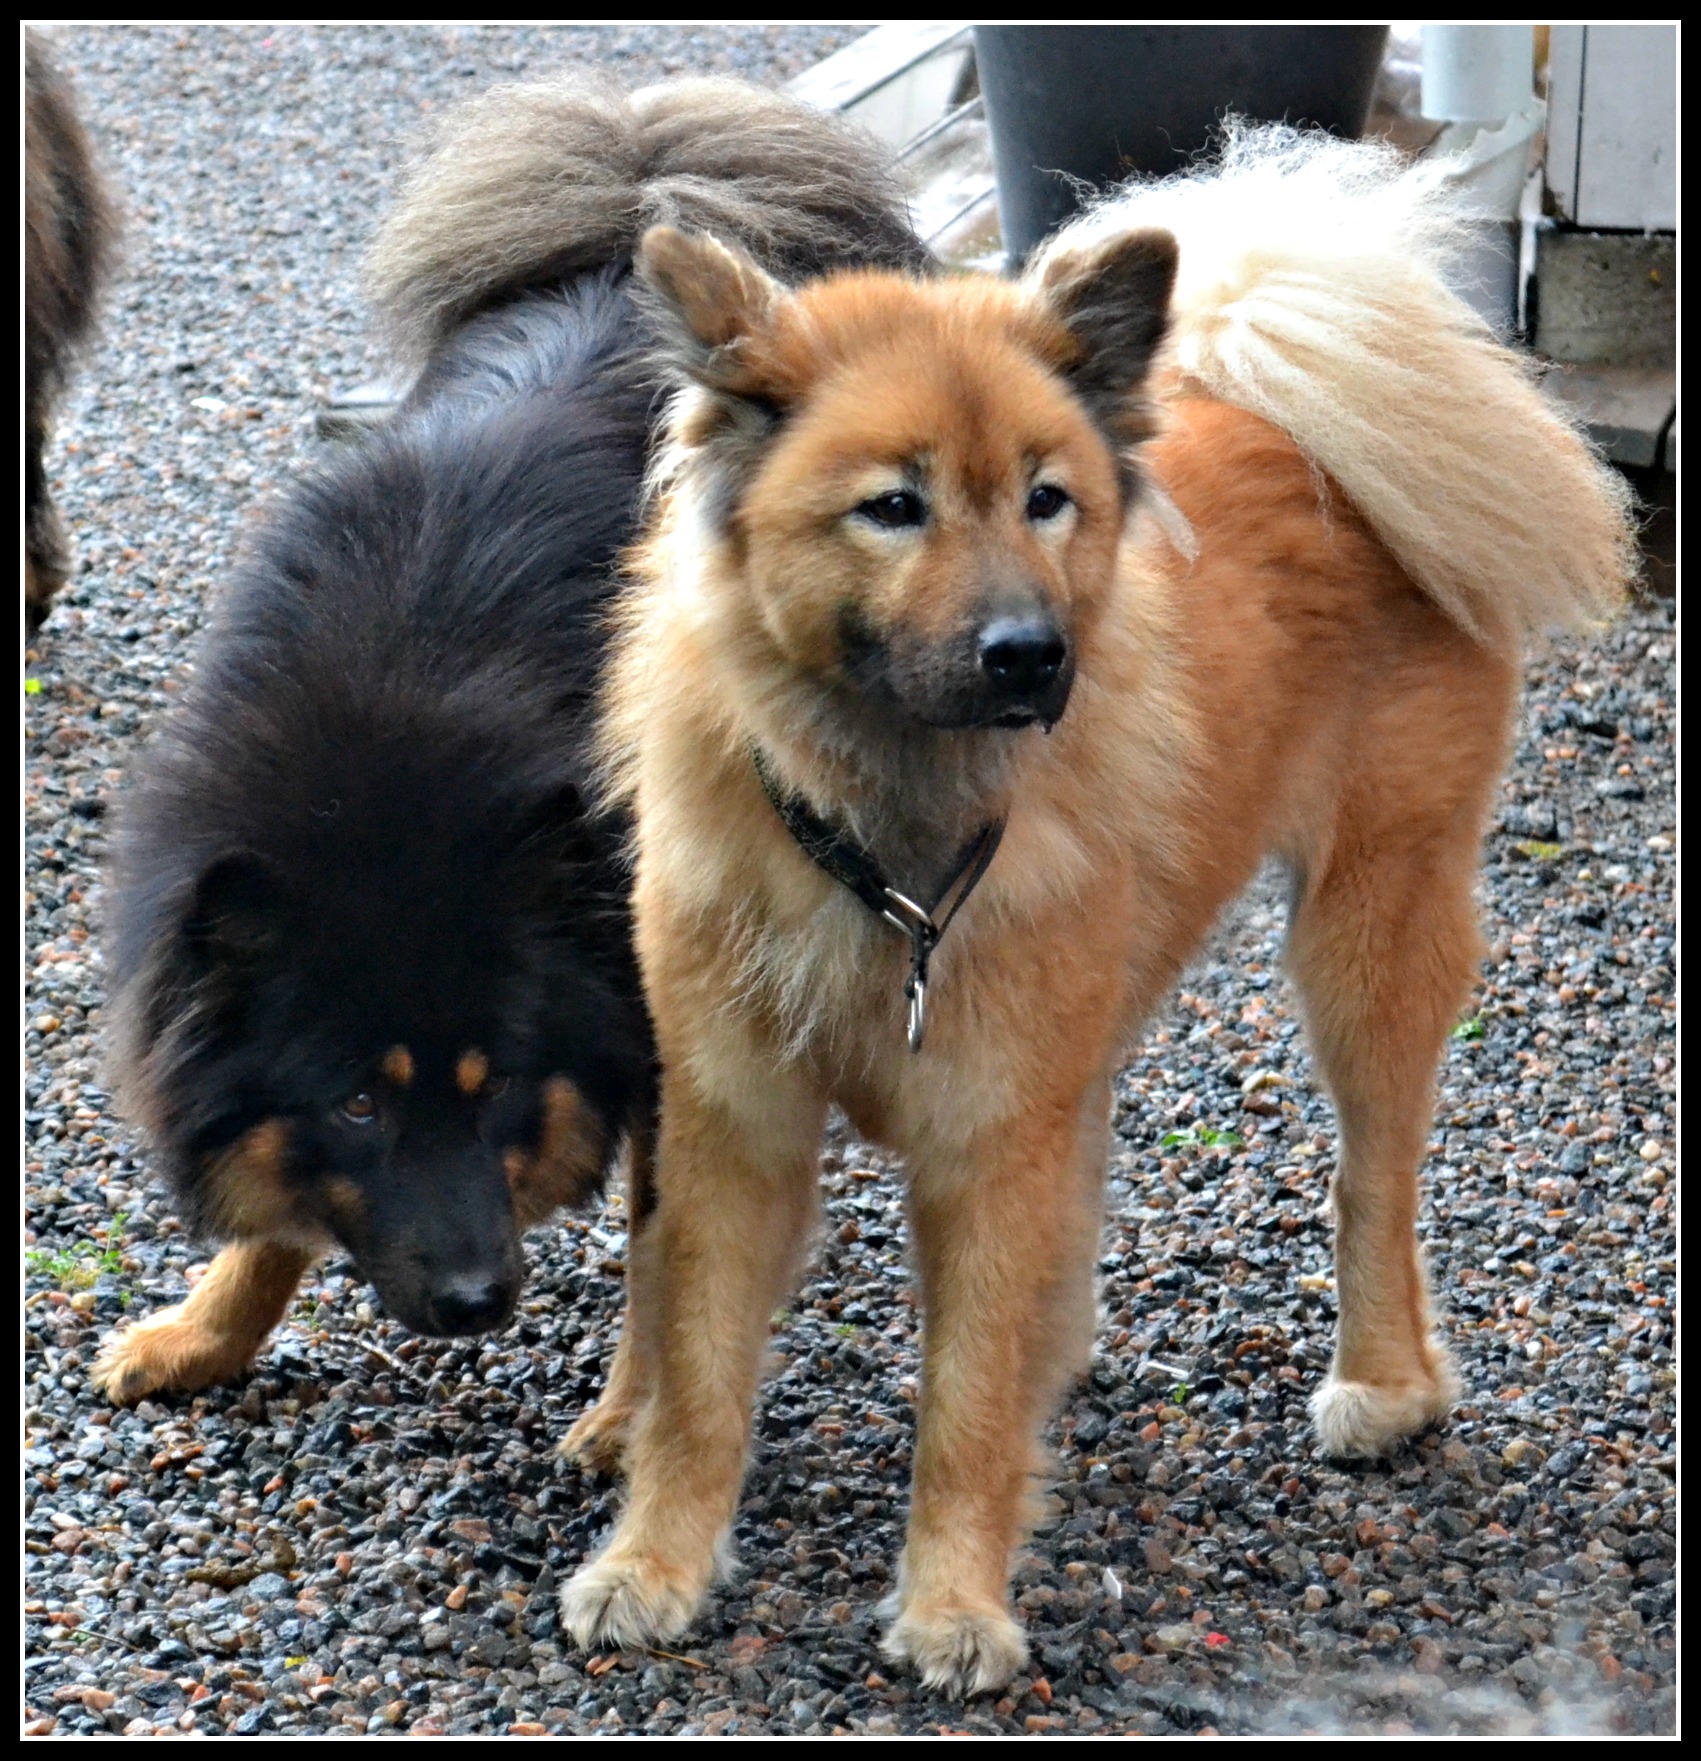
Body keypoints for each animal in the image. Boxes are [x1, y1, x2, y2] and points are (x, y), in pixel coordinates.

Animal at [90, 75, 930, 1407]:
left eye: (501, 1088)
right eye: (358, 1106)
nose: (480, 1303)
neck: (388, 766)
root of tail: (642, 195)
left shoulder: (651, 1006)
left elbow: (667, 1230)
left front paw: (634, 1416)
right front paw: (203, 1332)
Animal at [557, 125, 1637, 1693]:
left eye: (1044, 498)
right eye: (895, 506)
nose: (1029, 653)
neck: (890, 837)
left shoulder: (990, 1137)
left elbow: (963, 1398)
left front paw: (954, 1602)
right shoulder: (731, 1122)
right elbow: (698, 1365)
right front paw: (655, 1562)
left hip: (1367, 923)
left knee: (1373, 1177)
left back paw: (1382, 1383)